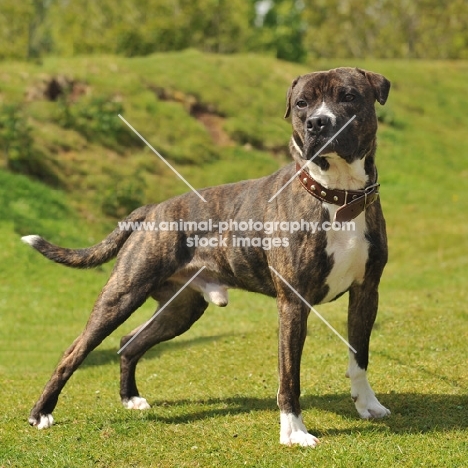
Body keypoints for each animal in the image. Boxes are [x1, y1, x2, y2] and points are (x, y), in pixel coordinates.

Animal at [22, 67, 390, 448]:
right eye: (302, 103)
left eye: (348, 96)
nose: (317, 122)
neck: (337, 195)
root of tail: (153, 209)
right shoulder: (293, 303)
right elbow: (289, 374)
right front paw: (294, 432)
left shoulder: (366, 293)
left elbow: (360, 356)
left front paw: (367, 404)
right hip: (121, 296)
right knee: (73, 352)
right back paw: (41, 413)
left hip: (180, 310)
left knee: (129, 342)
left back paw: (130, 397)